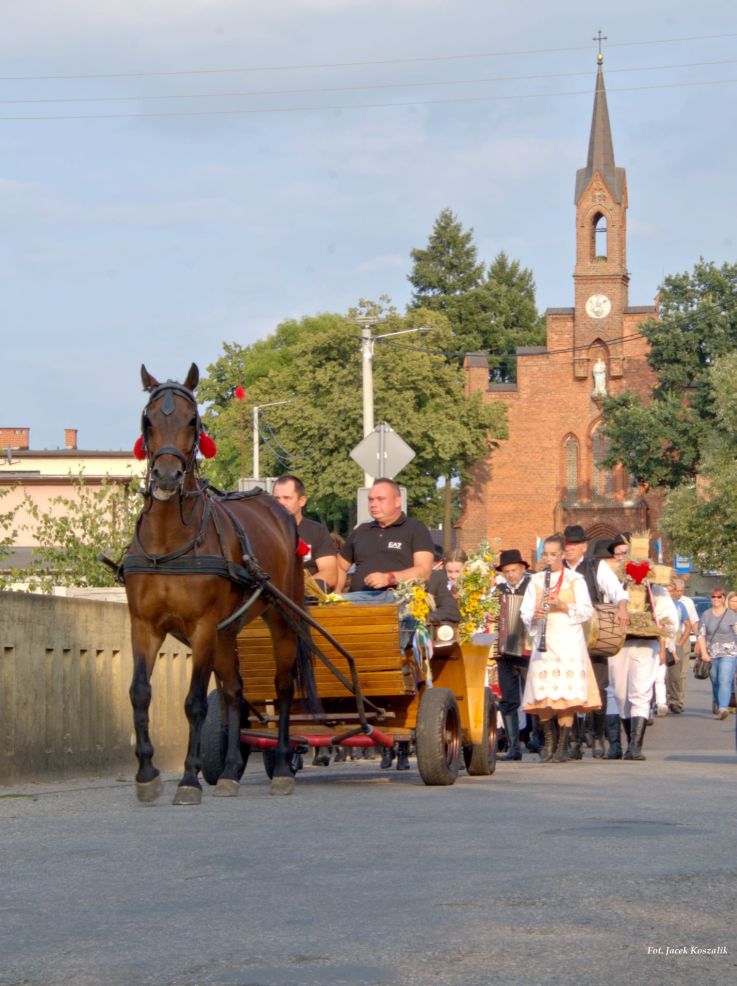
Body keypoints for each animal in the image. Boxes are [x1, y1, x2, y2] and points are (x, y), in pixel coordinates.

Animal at [123, 366, 314, 804]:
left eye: (193, 421)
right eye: (148, 420)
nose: (166, 476)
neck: (168, 543)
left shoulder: (202, 627)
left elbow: (195, 702)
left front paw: (188, 779)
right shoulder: (144, 625)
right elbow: (140, 692)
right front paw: (147, 774)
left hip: (280, 617)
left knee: (282, 688)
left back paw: (282, 767)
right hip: (227, 633)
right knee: (233, 692)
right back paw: (228, 771)